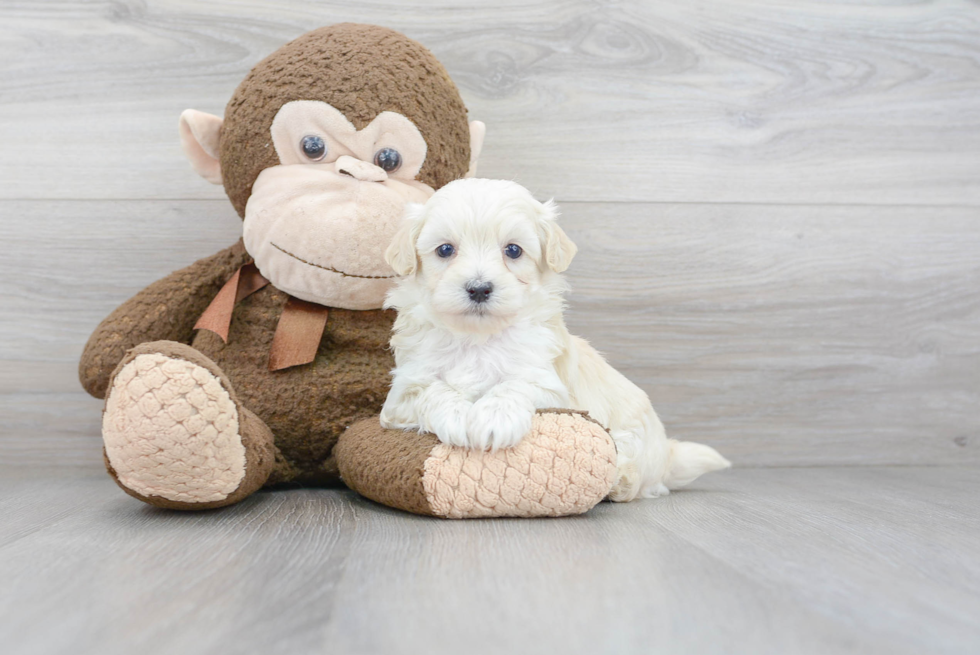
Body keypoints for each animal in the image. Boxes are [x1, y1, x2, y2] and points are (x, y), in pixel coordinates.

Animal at [378, 179, 732, 502]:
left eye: (513, 250)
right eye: (445, 250)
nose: (479, 288)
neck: (478, 338)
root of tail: (666, 455)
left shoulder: (550, 387)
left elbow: (514, 385)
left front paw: (494, 418)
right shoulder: (401, 394)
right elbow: (431, 390)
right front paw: (456, 415)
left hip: (635, 438)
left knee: (635, 476)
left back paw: (619, 480)